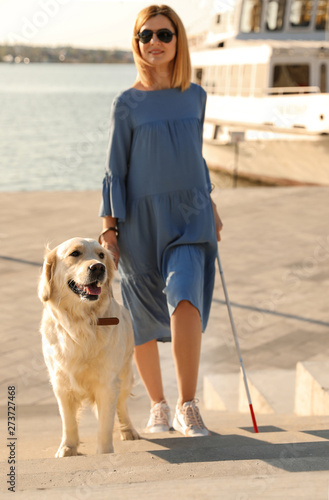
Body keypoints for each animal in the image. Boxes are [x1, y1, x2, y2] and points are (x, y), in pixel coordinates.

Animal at [38, 238, 138, 458]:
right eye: (75, 253)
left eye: (101, 255)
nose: (99, 267)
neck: (82, 322)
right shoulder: (60, 383)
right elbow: (68, 422)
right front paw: (68, 448)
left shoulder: (108, 384)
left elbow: (105, 425)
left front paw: (105, 453)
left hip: (125, 375)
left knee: (123, 405)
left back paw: (129, 430)